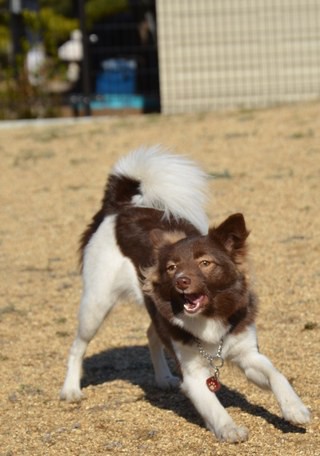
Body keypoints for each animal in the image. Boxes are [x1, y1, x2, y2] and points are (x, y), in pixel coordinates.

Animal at [60, 146, 310, 442]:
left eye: (205, 263)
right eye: (171, 267)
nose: (181, 282)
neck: (210, 316)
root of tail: (119, 208)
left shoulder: (249, 355)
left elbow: (277, 375)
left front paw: (295, 409)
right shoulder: (193, 376)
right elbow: (213, 406)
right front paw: (229, 428)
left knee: (151, 333)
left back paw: (163, 378)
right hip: (96, 304)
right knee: (77, 346)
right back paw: (70, 390)